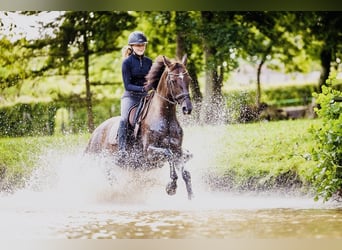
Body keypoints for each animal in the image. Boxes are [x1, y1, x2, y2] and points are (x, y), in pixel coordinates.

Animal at [85, 54, 194, 199]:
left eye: (189, 79)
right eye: (173, 81)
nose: (187, 108)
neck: (165, 119)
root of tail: (94, 134)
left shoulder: (178, 150)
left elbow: (186, 174)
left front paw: (191, 197)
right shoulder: (149, 153)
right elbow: (168, 153)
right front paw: (171, 187)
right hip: (101, 160)